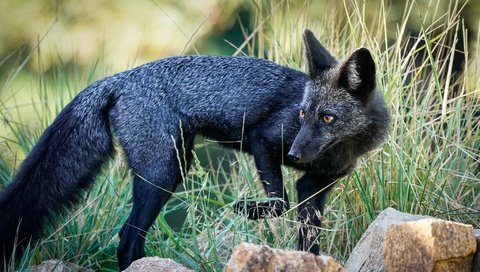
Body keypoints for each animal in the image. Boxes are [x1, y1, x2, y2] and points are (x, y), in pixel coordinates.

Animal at [0, 29, 388, 270]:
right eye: (304, 114)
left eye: (327, 118)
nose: (294, 155)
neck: (339, 151)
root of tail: (119, 77)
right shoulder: (263, 139)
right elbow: (278, 202)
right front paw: (247, 209)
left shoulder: (315, 185)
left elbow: (307, 239)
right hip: (162, 174)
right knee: (127, 240)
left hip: (175, 167)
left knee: (129, 240)